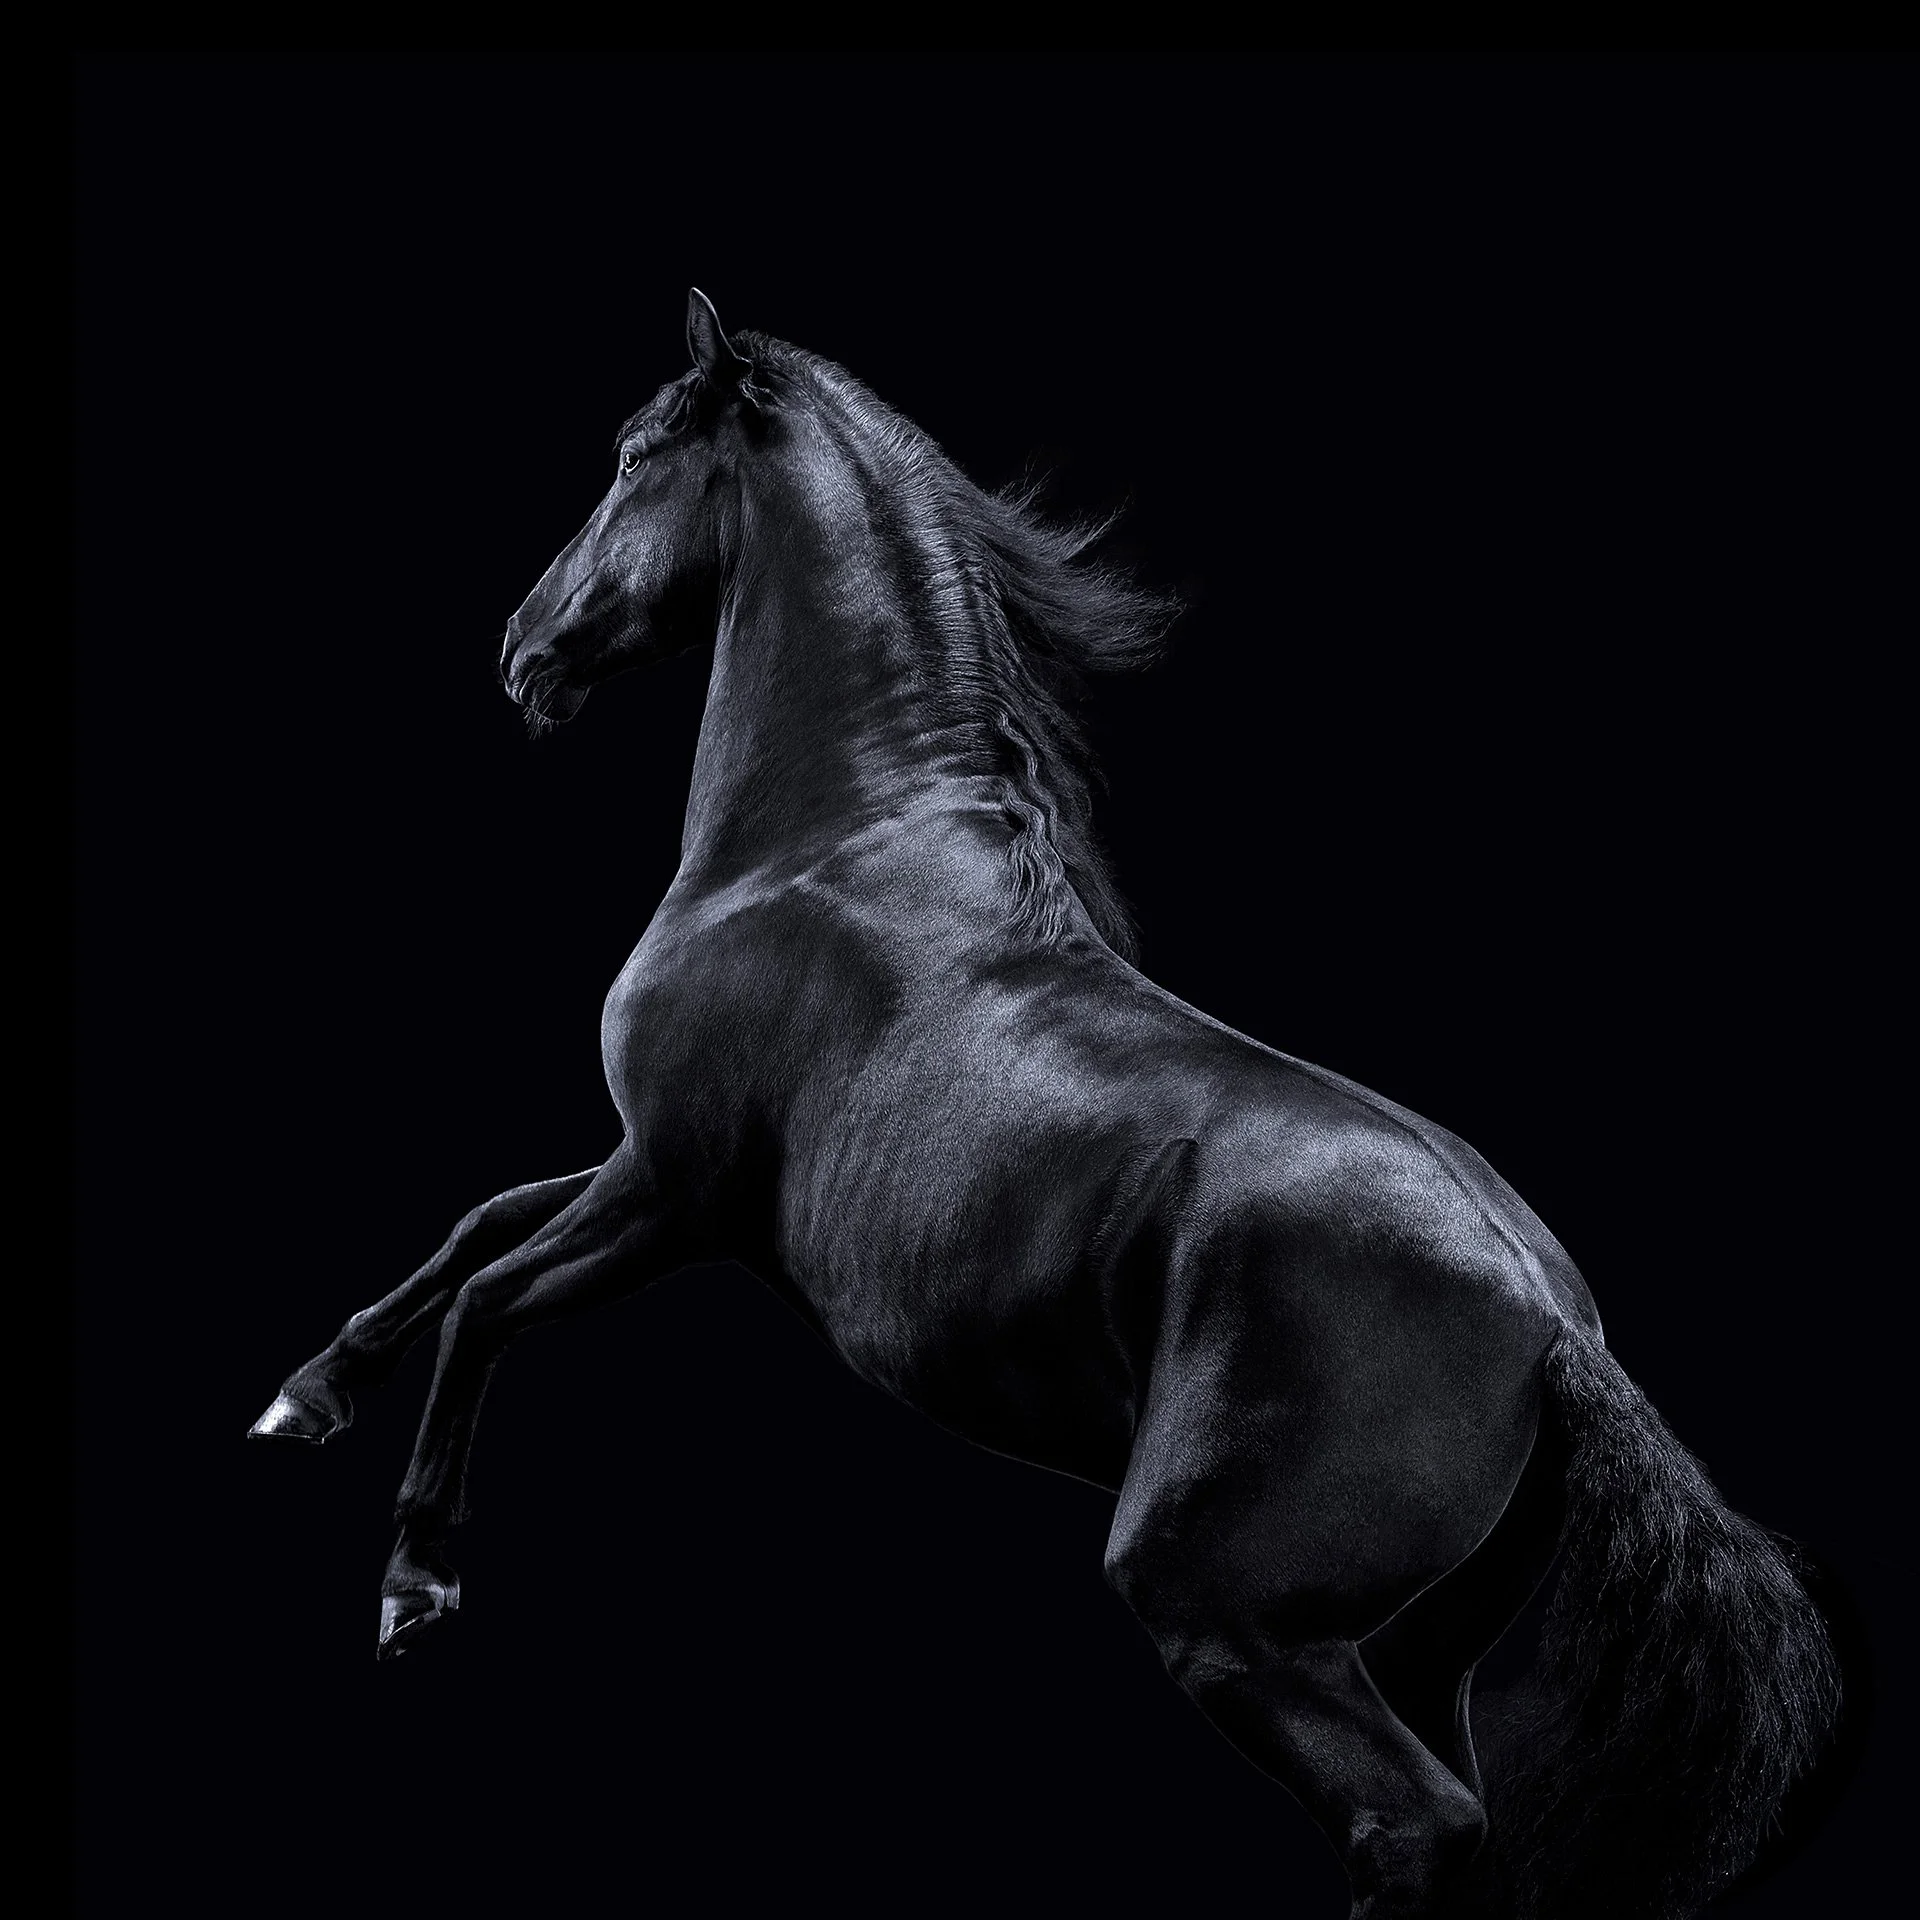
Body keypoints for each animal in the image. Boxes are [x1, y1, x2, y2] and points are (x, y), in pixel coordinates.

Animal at [251, 290, 1840, 1918]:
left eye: (633, 458)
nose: (520, 649)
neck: (828, 842)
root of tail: (1553, 1331)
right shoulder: (644, 1163)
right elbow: (470, 1226)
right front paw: (304, 1393)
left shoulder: (673, 1197)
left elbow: (488, 1300)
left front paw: (414, 1582)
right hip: (1409, 1646)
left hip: (1223, 1612)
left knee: (1416, 1825)